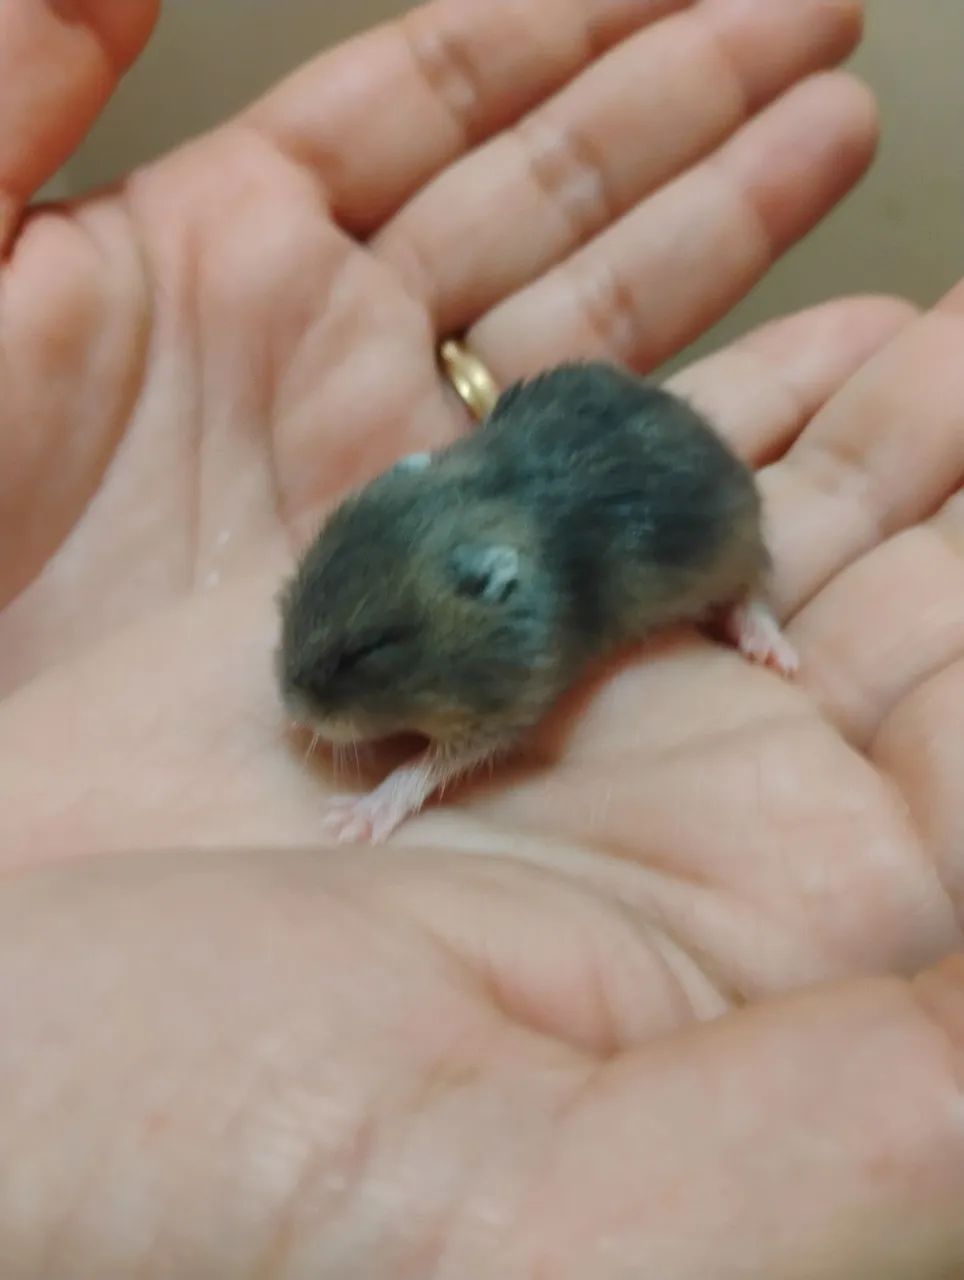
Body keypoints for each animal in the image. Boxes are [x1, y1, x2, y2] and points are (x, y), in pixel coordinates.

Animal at [276, 360, 798, 843]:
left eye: (370, 649)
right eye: (300, 584)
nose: (291, 708)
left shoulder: (502, 709)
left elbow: (427, 765)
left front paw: (352, 820)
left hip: (732, 547)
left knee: (753, 588)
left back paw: (775, 652)